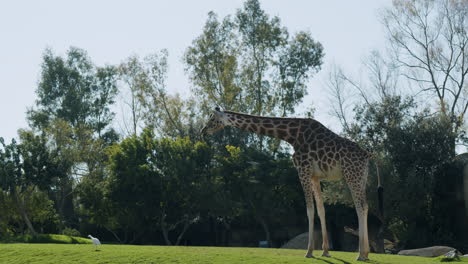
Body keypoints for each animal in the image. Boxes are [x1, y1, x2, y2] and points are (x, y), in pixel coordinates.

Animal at [202, 107, 384, 260]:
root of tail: (367, 154)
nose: (203, 131)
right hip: (361, 176)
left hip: (352, 175)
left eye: (212, 118)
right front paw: (325, 251)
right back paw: (365, 253)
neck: (290, 135)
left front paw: (309, 251)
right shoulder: (315, 176)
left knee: (360, 206)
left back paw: (361, 254)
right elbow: (321, 209)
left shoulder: (303, 169)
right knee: (365, 206)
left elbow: (309, 210)